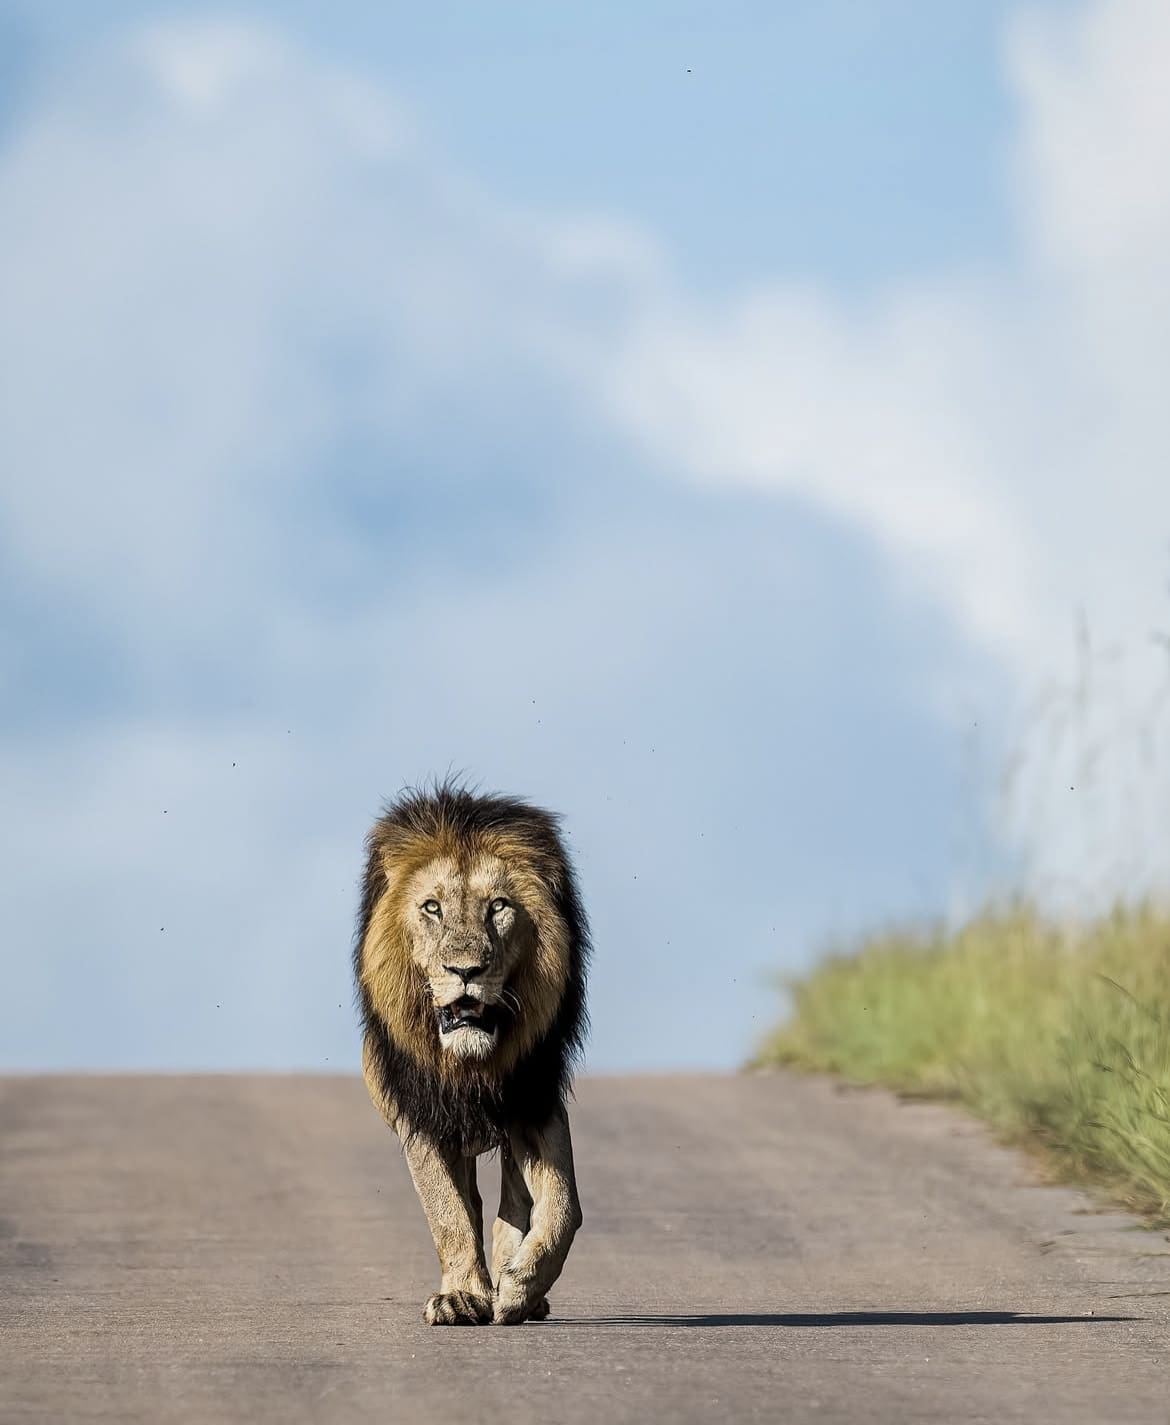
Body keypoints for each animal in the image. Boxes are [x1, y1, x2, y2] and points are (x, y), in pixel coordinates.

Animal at [351, 780, 589, 1322]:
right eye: (431, 908)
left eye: (498, 906)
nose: (465, 970)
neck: (471, 1062)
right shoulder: (420, 1113)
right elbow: (447, 1212)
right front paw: (461, 1296)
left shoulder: (535, 1099)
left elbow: (563, 1206)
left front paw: (520, 1286)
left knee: (514, 1203)